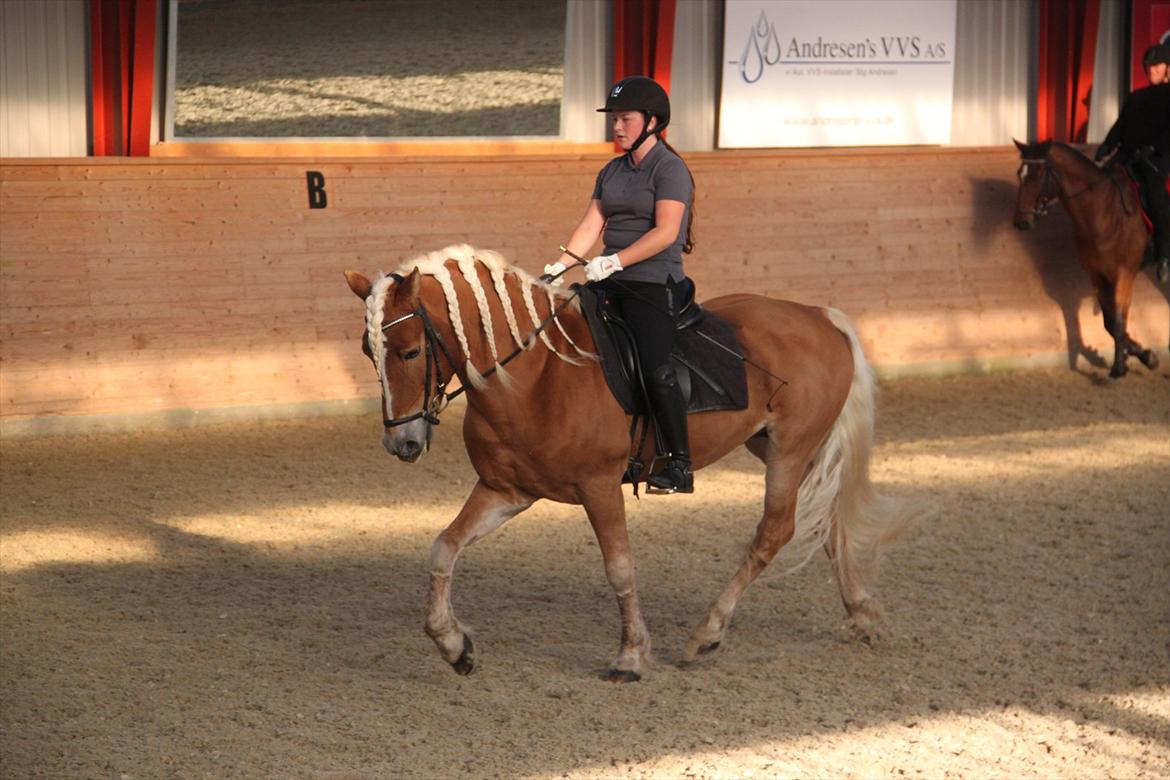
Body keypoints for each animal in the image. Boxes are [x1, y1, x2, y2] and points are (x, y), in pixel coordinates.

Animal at [343, 244, 903, 682]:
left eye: (411, 352)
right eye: (370, 351)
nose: (402, 443)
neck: (535, 376)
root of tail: (819, 316)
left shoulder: (599, 487)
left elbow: (619, 567)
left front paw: (631, 656)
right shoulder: (506, 490)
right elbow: (444, 548)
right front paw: (454, 646)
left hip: (790, 450)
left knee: (775, 533)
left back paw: (707, 633)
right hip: (774, 447)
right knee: (828, 523)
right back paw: (862, 614)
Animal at [1010, 139, 1155, 378]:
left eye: (1039, 173)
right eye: (1020, 174)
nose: (1021, 222)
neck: (1104, 213)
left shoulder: (1124, 274)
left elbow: (1118, 321)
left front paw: (1129, 363)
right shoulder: (1098, 275)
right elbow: (1112, 322)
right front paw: (1131, 357)